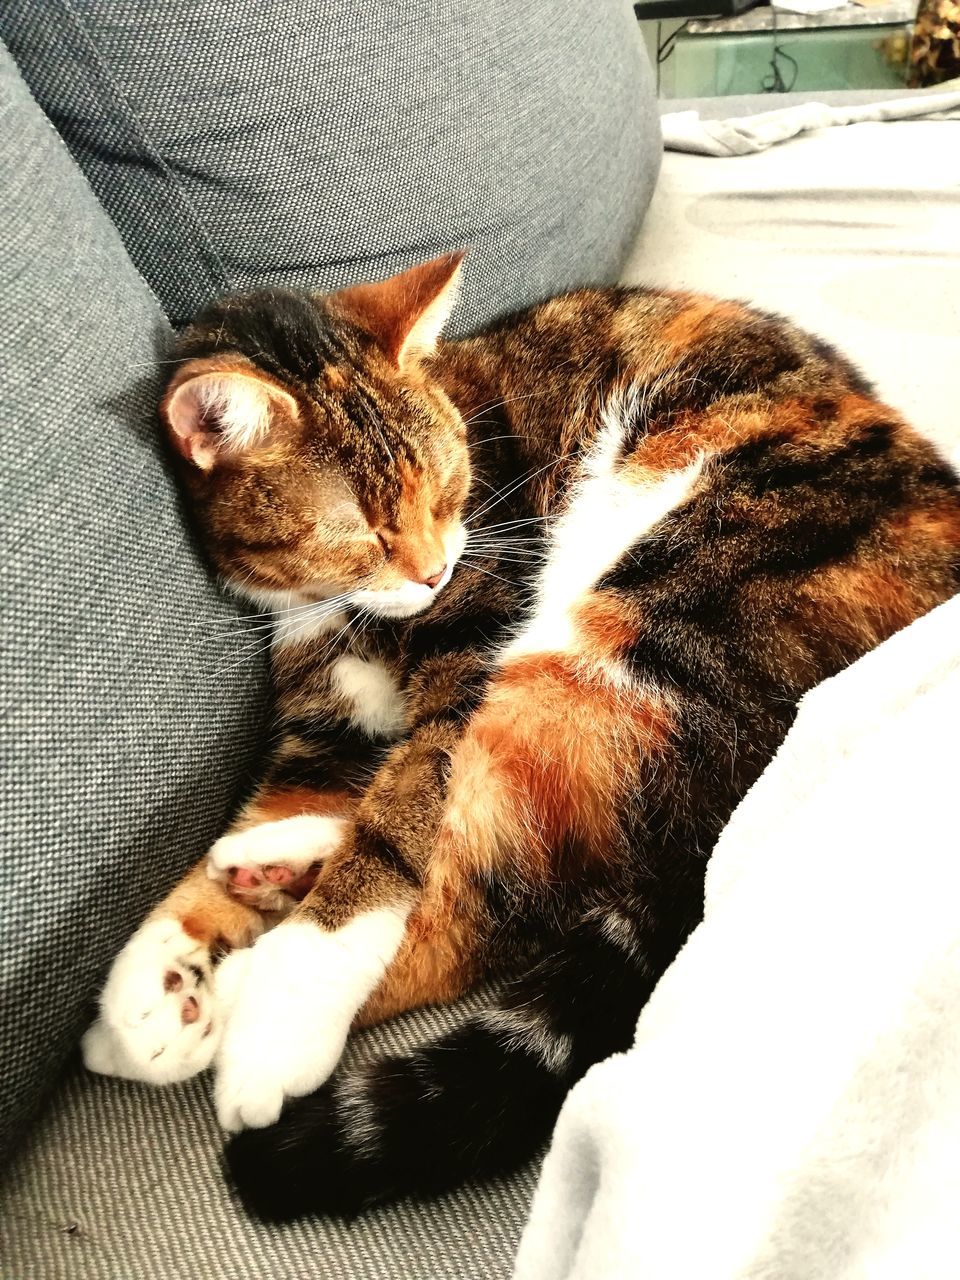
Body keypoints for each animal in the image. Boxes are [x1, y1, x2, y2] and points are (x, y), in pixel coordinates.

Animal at [82, 252, 960, 1218]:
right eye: (360, 529)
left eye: (448, 488)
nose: (434, 571)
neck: (334, 611)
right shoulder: (326, 729)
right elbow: (294, 802)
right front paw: (161, 970)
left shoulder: (476, 640)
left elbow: (403, 823)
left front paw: (277, 1007)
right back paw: (261, 875)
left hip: (646, 620)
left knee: (498, 883)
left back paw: (249, 993)